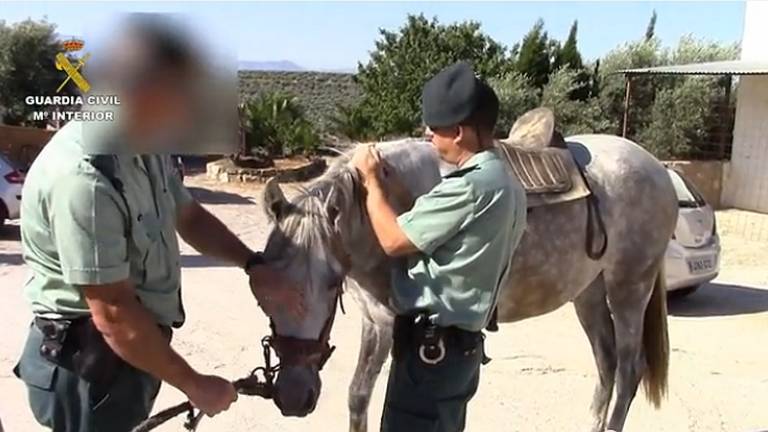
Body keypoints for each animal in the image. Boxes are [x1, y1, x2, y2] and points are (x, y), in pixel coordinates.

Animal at [260, 115, 676, 432]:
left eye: (331, 283)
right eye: (260, 290)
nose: (293, 396)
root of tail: (657, 168)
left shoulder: (392, 321)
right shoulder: (376, 321)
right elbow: (357, 397)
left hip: (629, 287)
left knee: (628, 369)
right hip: (588, 293)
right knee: (606, 364)